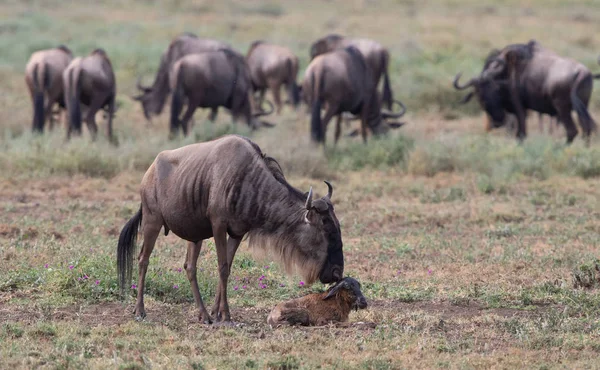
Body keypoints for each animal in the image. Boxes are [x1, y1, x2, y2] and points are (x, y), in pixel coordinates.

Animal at [117, 134, 344, 322]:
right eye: (327, 232)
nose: (337, 273)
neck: (249, 181)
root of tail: (149, 171)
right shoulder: (218, 225)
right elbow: (223, 267)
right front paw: (225, 315)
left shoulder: (237, 232)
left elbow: (227, 266)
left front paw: (217, 312)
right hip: (152, 221)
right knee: (143, 260)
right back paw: (140, 311)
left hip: (194, 236)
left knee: (190, 267)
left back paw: (203, 315)